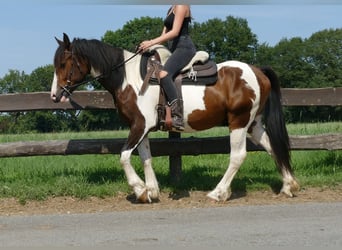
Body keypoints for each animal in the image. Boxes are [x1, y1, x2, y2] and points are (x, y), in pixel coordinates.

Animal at [50, 33, 300, 202]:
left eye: (63, 63)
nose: (54, 95)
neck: (129, 79)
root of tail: (257, 71)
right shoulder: (142, 128)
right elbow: (145, 157)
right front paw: (152, 190)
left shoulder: (139, 126)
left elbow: (124, 156)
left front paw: (140, 190)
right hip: (253, 124)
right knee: (272, 147)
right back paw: (289, 185)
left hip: (238, 122)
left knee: (238, 156)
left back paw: (218, 192)